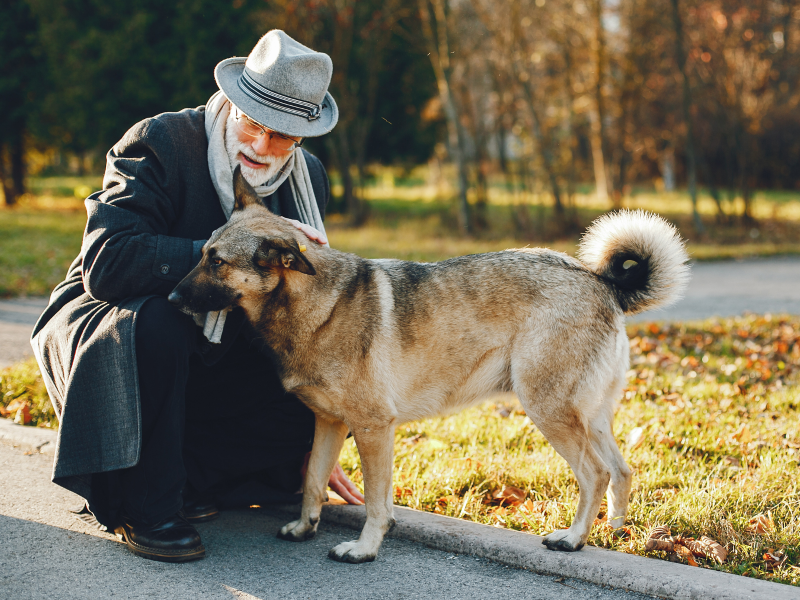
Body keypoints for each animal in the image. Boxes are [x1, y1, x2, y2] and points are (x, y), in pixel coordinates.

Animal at [167, 168, 688, 564]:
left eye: (216, 262)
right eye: (202, 255)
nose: (170, 299)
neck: (315, 304)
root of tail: (601, 282)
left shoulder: (373, 429)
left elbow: (376, 503)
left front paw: (364, 548)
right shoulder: (329, 424)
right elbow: (314, 481)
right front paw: (303, 526)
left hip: (549, 409)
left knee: (595, 474)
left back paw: (575, 538)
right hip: (590, 415)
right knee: (620, 471)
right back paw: (614, 531)